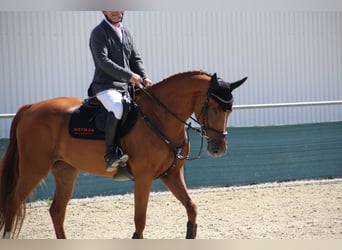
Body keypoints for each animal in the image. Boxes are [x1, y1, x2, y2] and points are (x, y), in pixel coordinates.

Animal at [0, 70, 246, 238]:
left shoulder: (171, 175)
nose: (218, 148)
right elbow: (140, 221)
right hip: (34, 169)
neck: (159, 117)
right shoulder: (144, 179)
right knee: (12, 202)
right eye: (213, 108)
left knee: (56, 211)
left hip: (66, 171)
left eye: (230, 110)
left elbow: (192, 208)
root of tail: (30, 107)